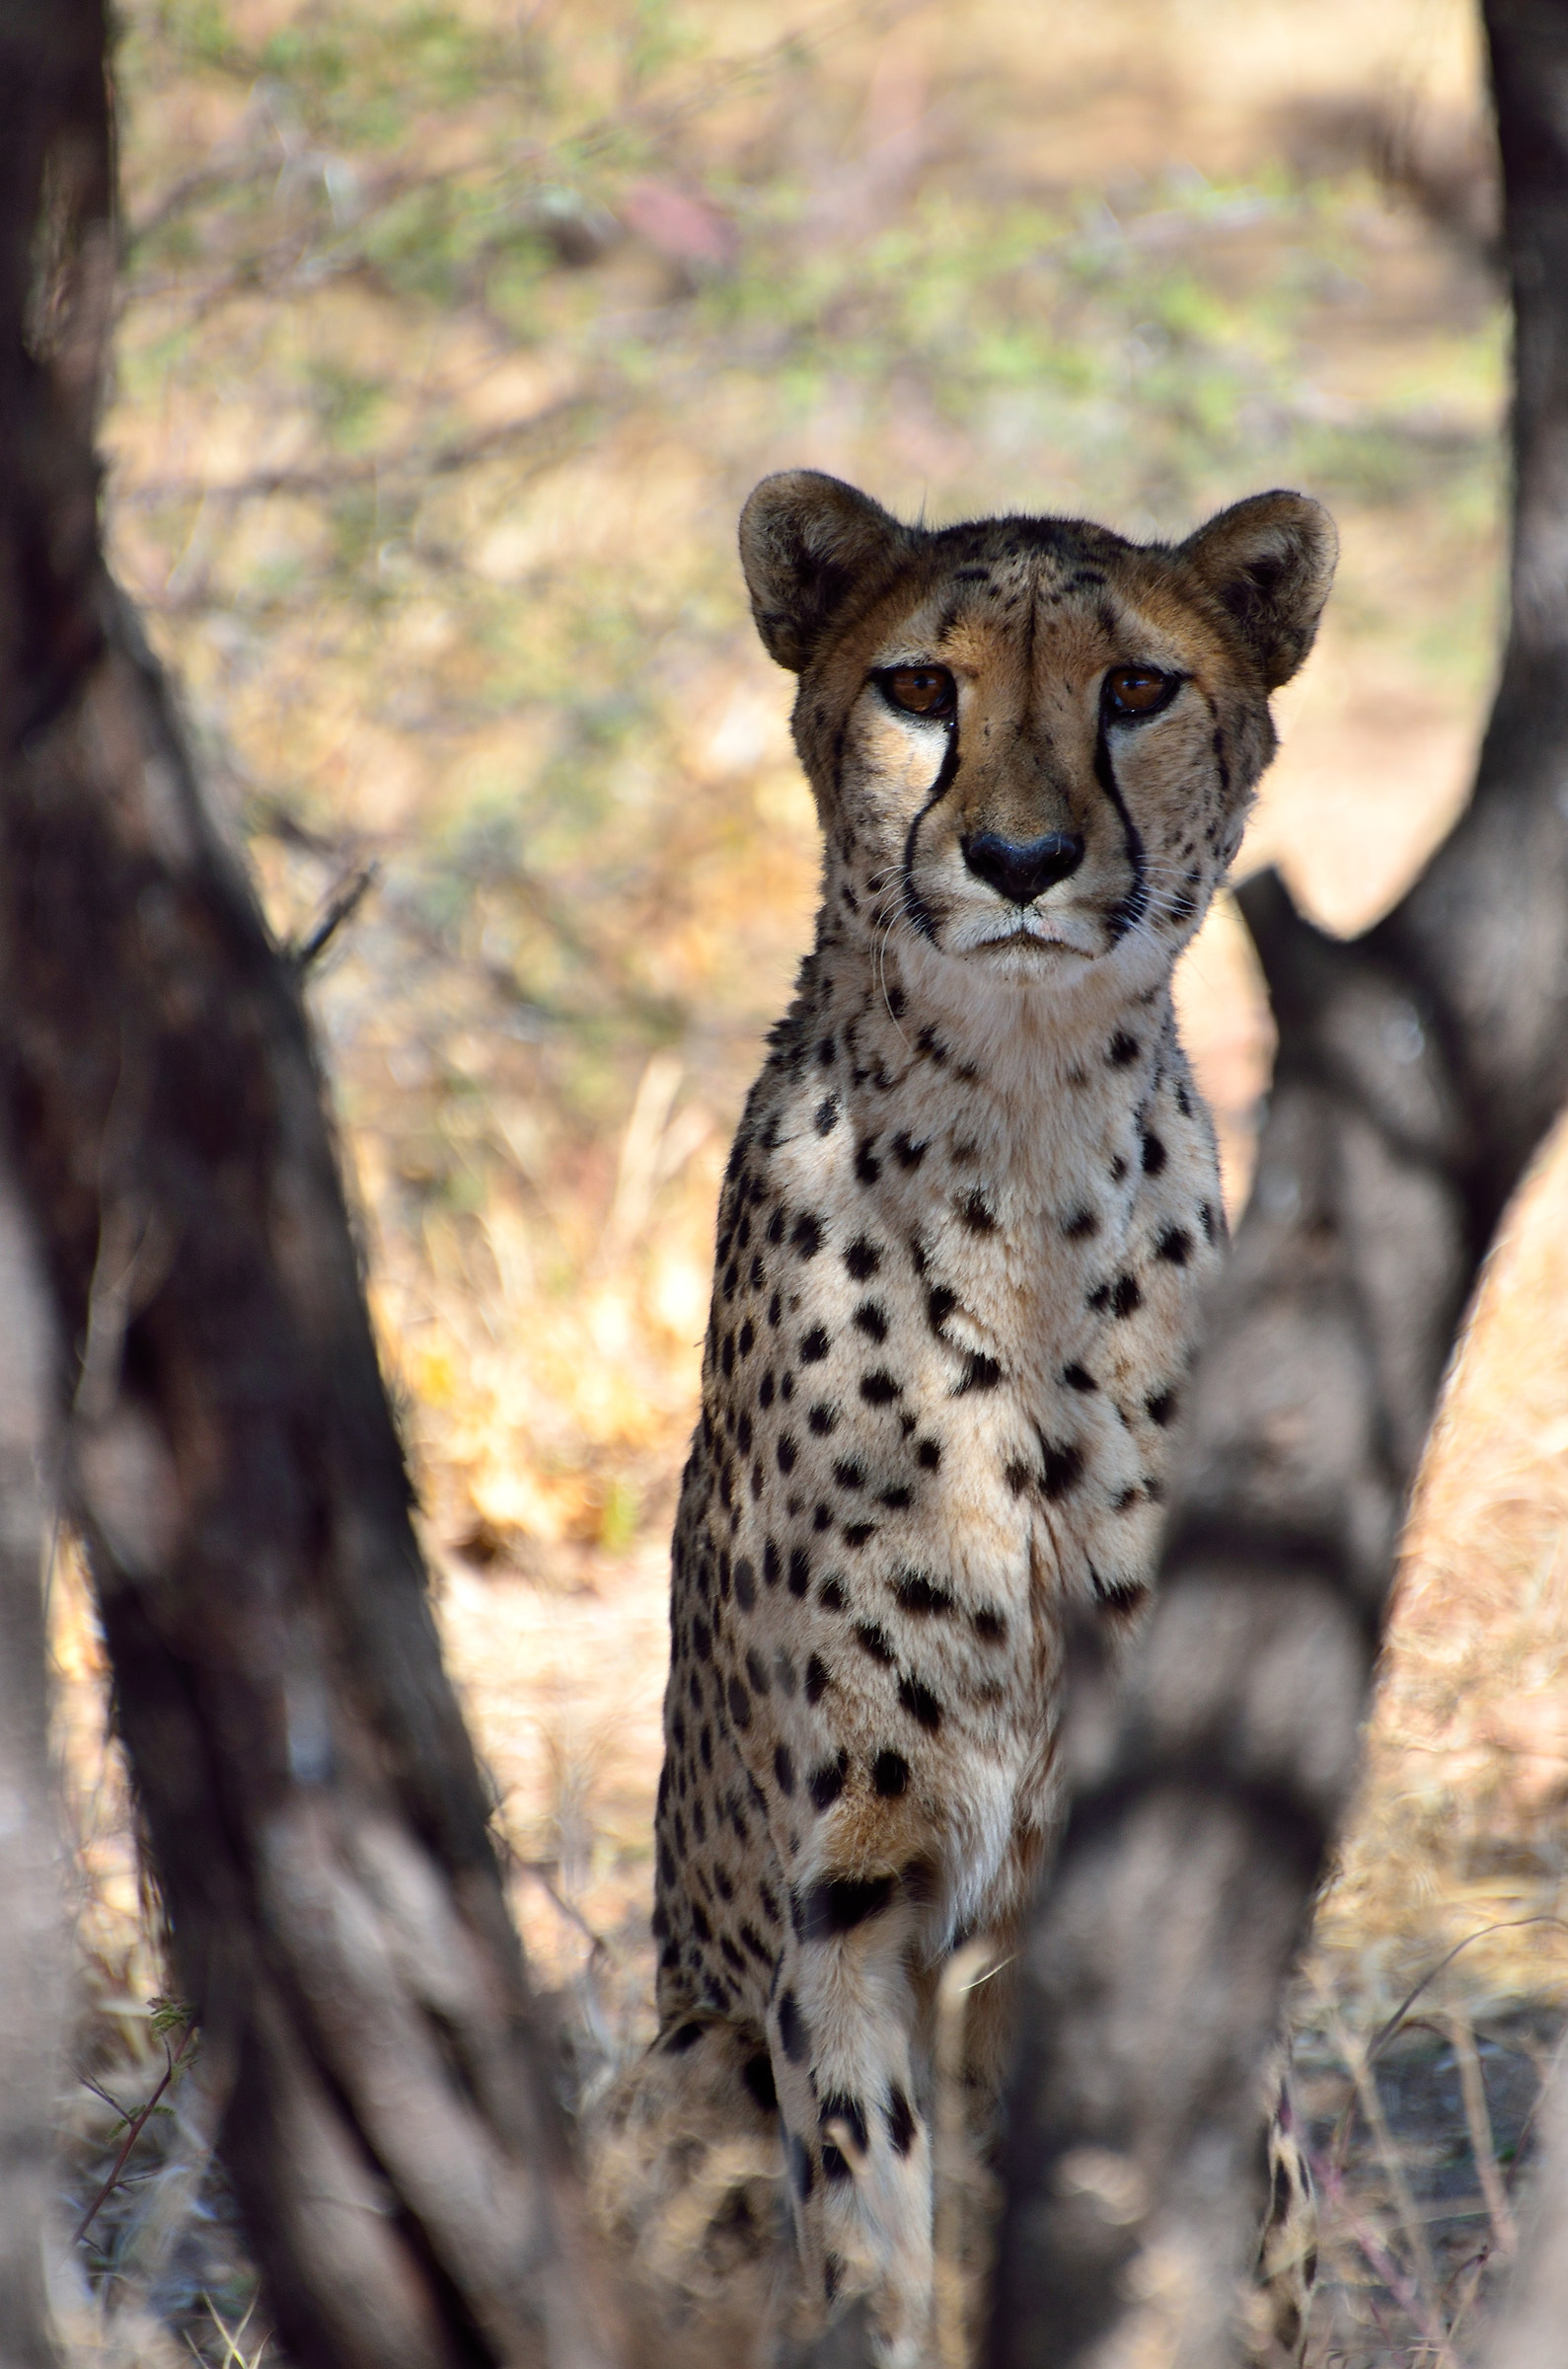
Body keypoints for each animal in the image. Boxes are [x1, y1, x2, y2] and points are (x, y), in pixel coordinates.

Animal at [598, 468, 1336, 2367]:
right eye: (920, 688)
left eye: (1136, 689)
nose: (1016, 861)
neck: (1019, 1130)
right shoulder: (852, 1894)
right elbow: (870, 2246)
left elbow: (1201, 2237)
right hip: (682, 2060)